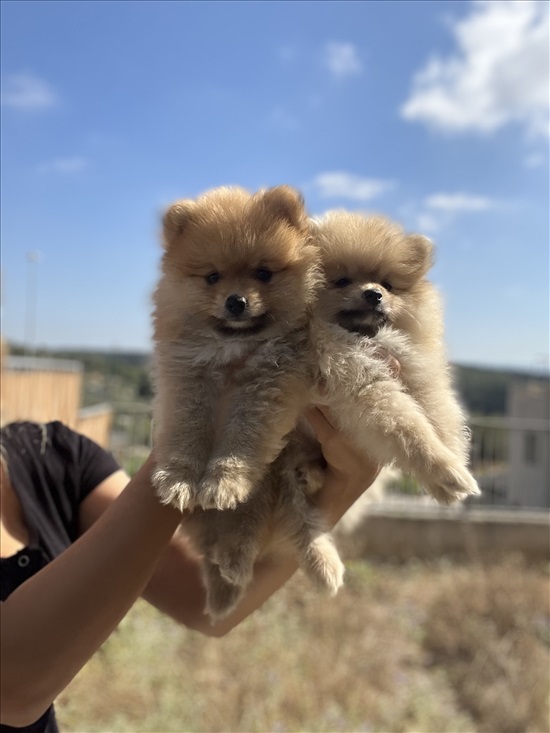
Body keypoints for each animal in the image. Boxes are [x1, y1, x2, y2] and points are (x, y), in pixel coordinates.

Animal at [153, 186, 322, 512]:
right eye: (212, 277)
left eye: (263, 273)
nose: (236, 301)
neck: (232, 343)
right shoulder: (188, 375)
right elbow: (185, 430)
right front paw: (177, 478)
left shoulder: (266, 384)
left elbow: (243, 438)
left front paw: (224, 482)